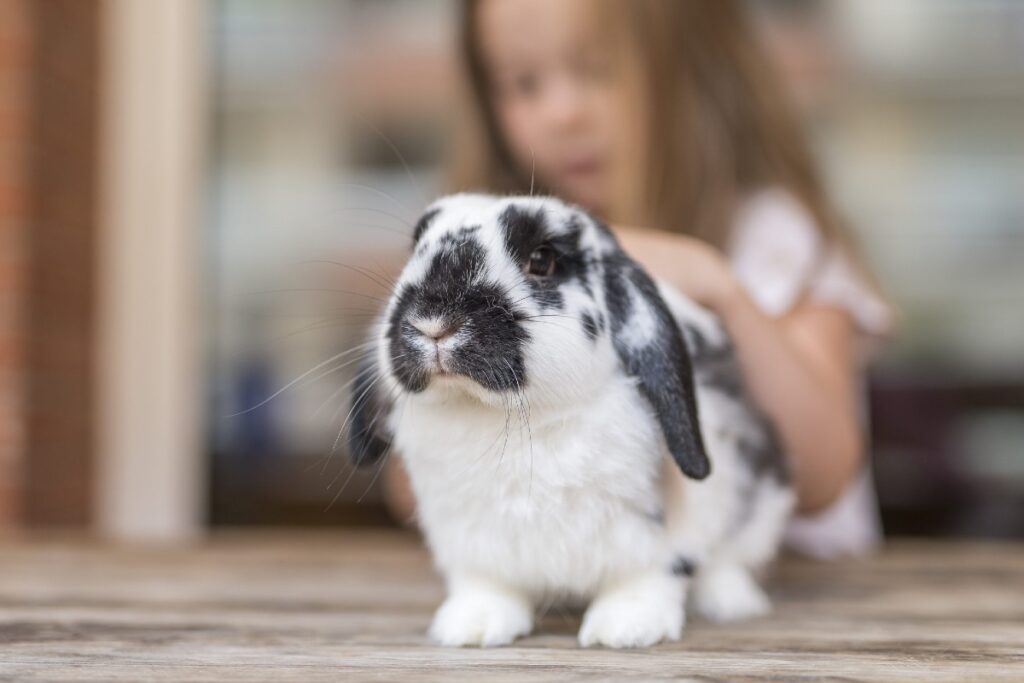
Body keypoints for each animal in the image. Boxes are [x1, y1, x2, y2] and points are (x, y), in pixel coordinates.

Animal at [348, 194, 794, 651]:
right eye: (415, 248)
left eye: (542, 260)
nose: (432, 322)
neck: (513, 420)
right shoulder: (469, 542)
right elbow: (485, 584)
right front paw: (472, 626)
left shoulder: (670, 532)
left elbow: (653, 573)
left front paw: (624, 628)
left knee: (730, 558)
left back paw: (730, 601)